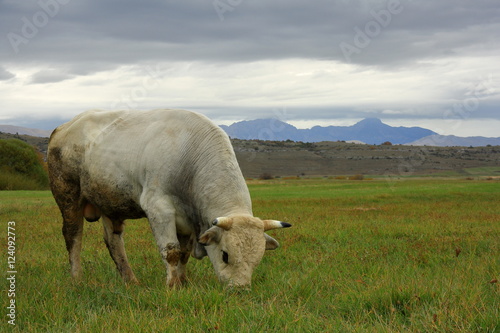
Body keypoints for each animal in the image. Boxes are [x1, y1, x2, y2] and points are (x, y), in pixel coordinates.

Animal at [47, 109, 290, 288]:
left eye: (257, 260)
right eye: (225, 255)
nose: (240, 289)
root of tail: (63, 127)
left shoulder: (186, 221)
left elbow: (183, 254)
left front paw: (183, 283)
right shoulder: (159, 209)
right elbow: (171, 252)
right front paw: (172, 286)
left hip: (108, 202)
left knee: (114, 242)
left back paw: (131, 281)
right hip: (68, 197)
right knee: (73, 237)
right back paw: (77, 278)